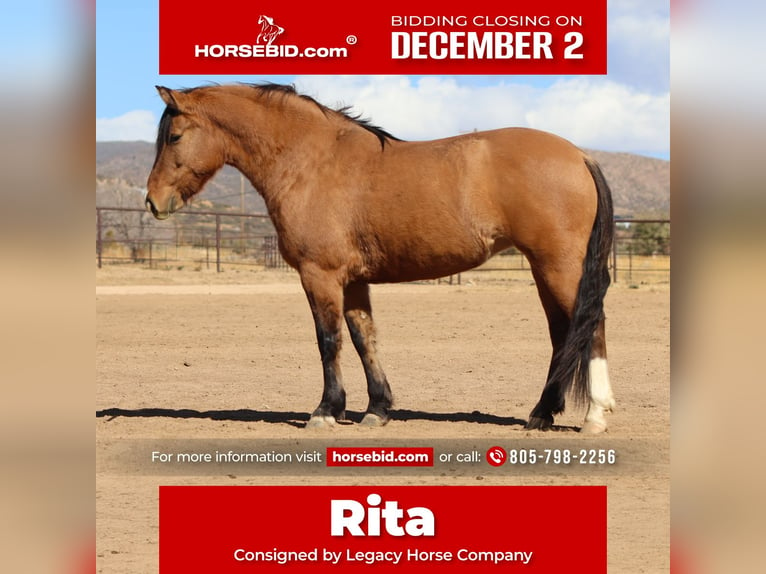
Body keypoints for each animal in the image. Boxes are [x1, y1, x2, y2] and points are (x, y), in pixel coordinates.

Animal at [146, 84, 616, 436]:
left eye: (174, 136)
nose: (153, 201)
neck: (312, 162)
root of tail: (580, 155)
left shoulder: (320, 276)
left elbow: (328, 340)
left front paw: (325, 411)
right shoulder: (354, 281)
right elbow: (364, 339)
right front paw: (377, 409)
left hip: (560, 267)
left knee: (591, 325)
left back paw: (593, 416)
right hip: (544, 268)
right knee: (562, 333)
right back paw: (542, 414)